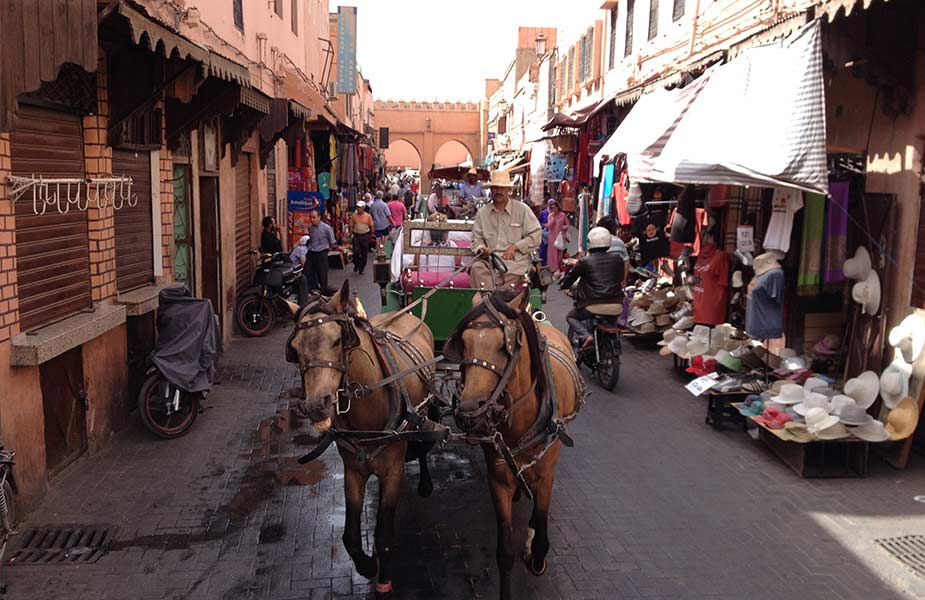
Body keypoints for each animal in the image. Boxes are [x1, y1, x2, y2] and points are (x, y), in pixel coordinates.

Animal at [286, 280, 436, 596]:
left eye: (337, 340)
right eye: (294, 347)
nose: (315, 405)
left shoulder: (393, 472)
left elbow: (384, 536)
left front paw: (383, 576)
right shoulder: (353, 470)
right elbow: (350, 537)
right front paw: (367, 564)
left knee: (424, 444)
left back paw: (426, 481)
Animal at [444, 290, 580, 600]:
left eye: (505, 346)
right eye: (464, 342)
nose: (470, 412)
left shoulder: (546, 475)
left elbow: (541, 532)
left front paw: (535, 551)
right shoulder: (498, 479)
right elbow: (504, 553)